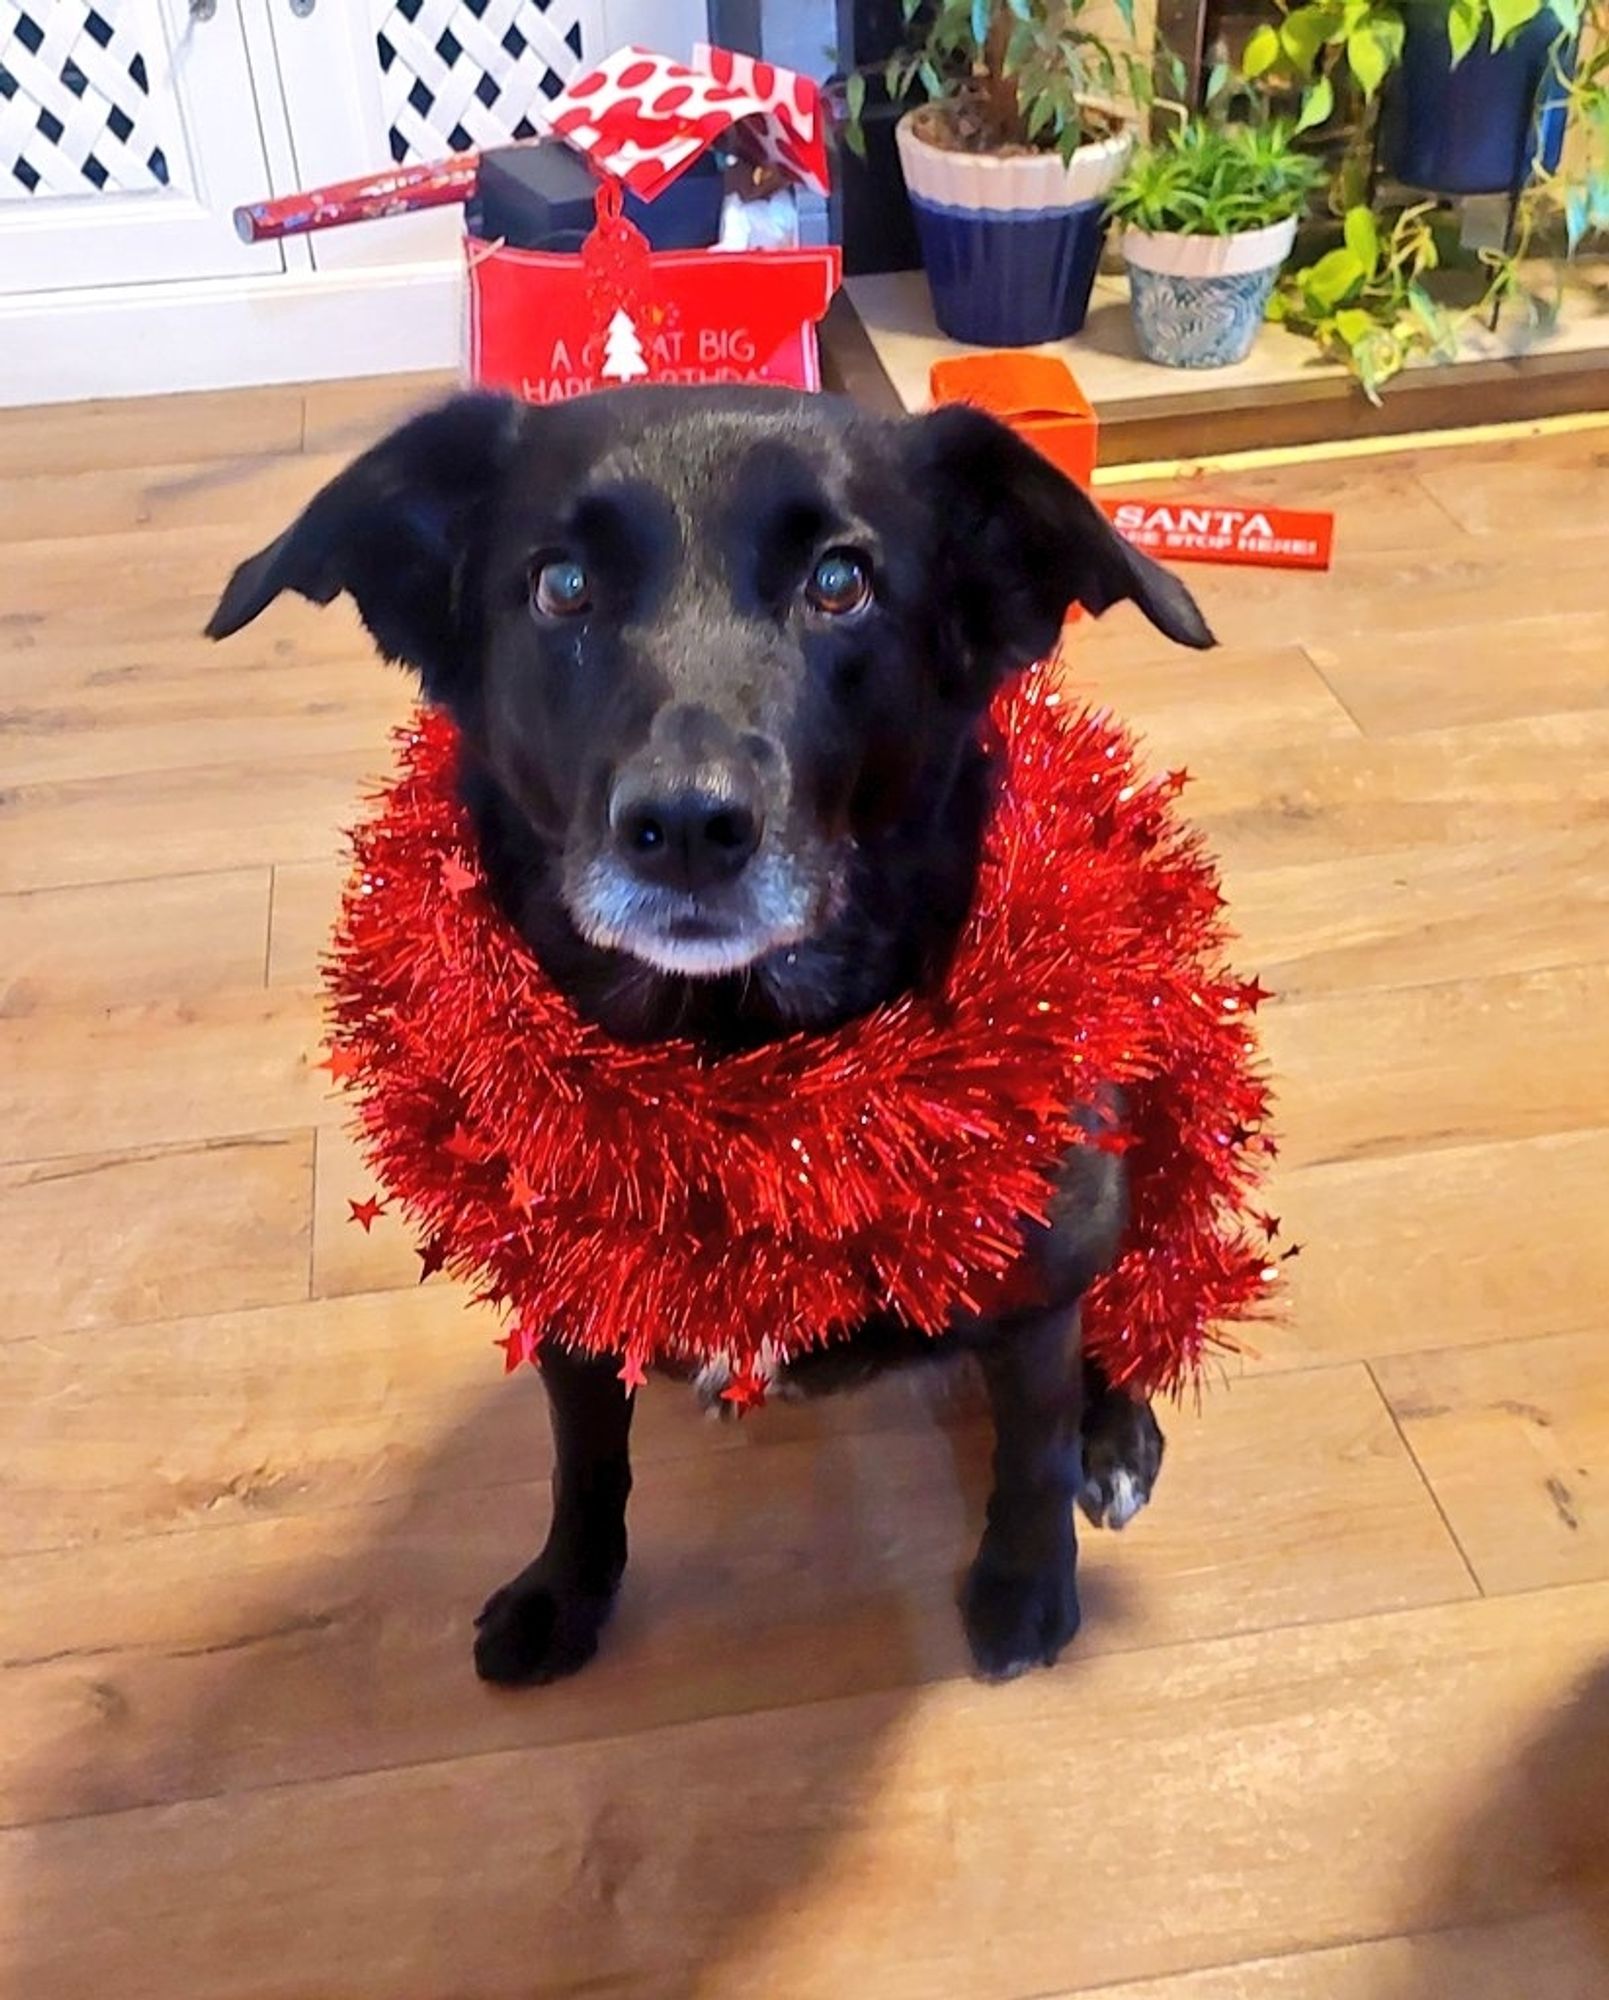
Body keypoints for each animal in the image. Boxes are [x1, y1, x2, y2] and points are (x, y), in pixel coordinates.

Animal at [207, 386, 1216, 1688]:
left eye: (840, 580)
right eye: (562, 585)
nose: (687, 825)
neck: (742, 1069)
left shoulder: (1039, 1273)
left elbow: (1029, 1451)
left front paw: (1027, 1590)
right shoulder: (570, 1281)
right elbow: (584, 1456)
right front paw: (567, 1589)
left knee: (1143, 1299)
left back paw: (1116, 1433)